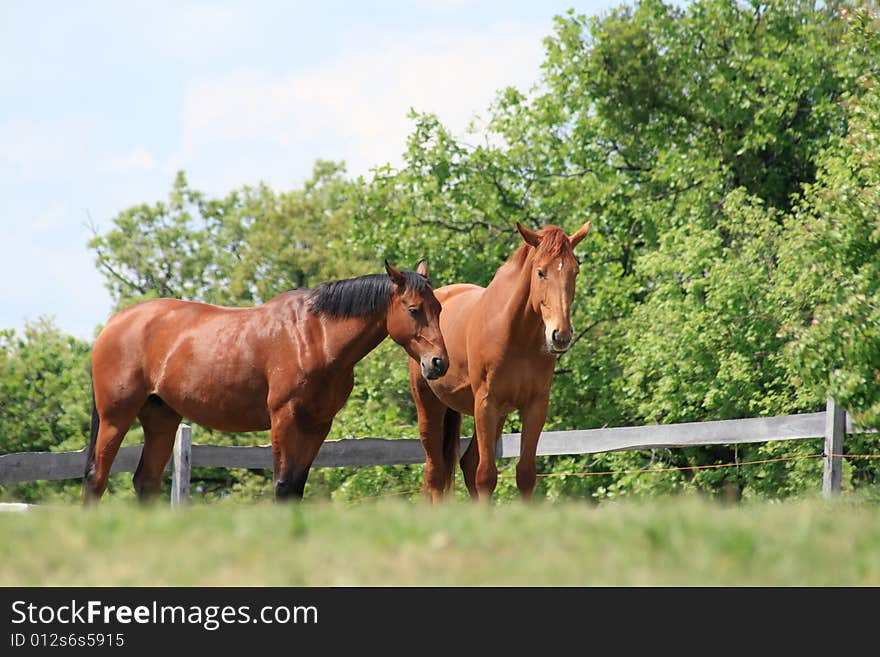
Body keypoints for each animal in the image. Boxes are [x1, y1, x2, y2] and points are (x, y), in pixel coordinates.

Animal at [408, 222, 588, 502]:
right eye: (540, 272)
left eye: (575, 272)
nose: (561, 335)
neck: (517, 335)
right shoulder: (485, 403)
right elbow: (486, 475)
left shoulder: (535, 406)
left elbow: (525, 474)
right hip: (429, 405)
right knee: (436, 473)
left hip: (499, 413)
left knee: (467, 463)